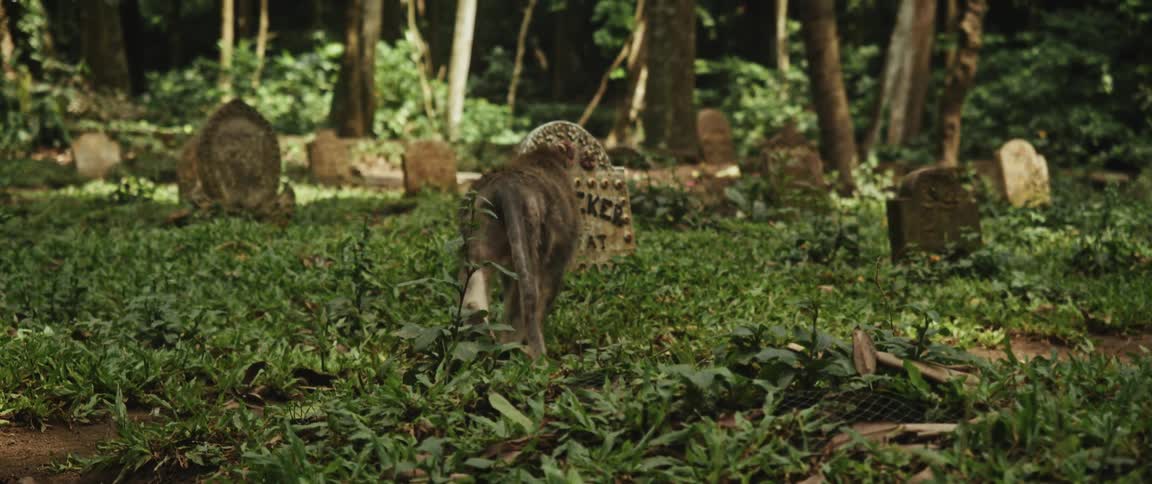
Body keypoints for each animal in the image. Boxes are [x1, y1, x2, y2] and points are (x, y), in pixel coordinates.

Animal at [457, 143, 582, 359]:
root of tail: (508, 187)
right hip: (532, 229)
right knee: (530, 292)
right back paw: (517, 347)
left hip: (479, 222)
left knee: (476, 274)